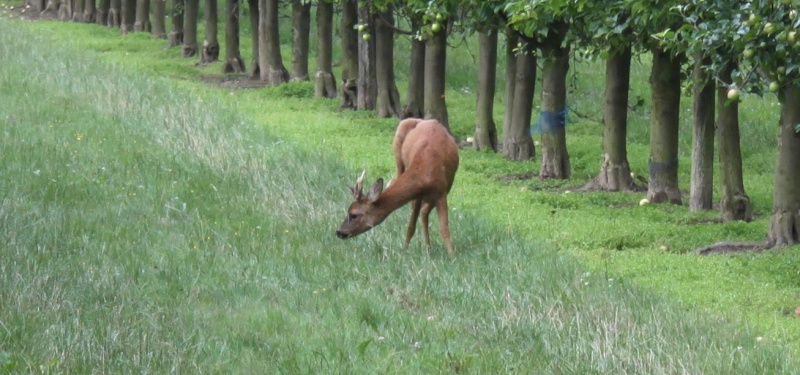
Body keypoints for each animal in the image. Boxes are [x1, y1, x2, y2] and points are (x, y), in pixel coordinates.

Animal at [334, 119, 460, 258]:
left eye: (353, 215)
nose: (339, 232)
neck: (425, 170)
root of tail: (427, 120)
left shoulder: (441, 192)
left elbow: (444, 228)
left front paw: (452, 255)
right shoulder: (418, 195)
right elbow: (411, 226)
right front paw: (404, 252)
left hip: (447, 185)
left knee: (424, 212)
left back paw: (428, 248)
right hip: (398, 154)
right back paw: (427, 248)